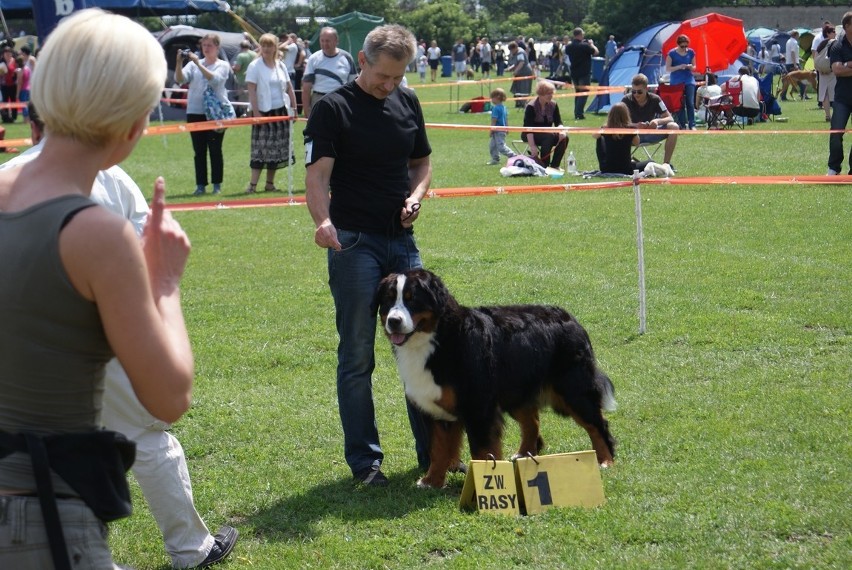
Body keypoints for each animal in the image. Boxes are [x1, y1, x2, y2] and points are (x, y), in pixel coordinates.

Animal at [376, 268, 616, 486]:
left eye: (412, 299)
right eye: (388, 299)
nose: (394, 321)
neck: (438, 338)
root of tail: (570, 318)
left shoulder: (479, 408)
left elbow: (482, 451)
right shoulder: (437, 408)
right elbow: (438, 449)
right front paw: (431, 481)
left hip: (572, 390)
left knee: (598, 424)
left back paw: (605, 460)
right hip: (517, 391)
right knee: (532, 422)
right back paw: (524, 454)